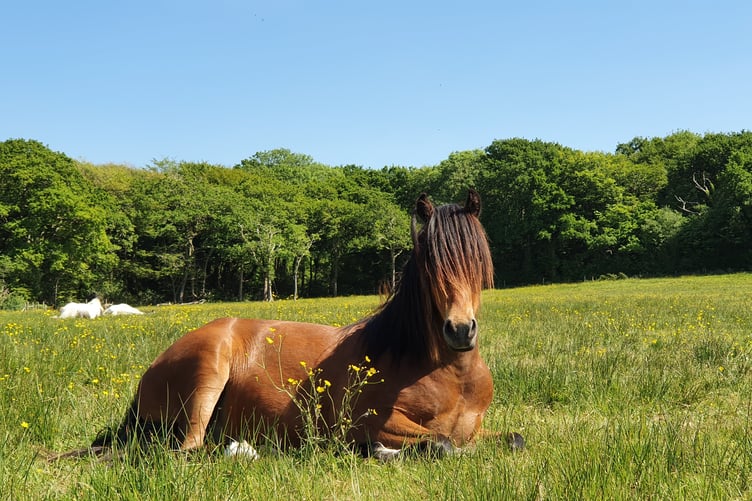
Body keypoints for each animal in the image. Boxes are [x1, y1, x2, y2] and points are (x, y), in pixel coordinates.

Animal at [88, 190, 499, 460]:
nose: (459, 330)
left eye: (479, 259)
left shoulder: (479, 429)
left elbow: (504, 439)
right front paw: (377, 450)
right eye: (430, 266)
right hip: (208, 376)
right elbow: (441, 444)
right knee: (189, 449)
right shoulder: (370, 421)